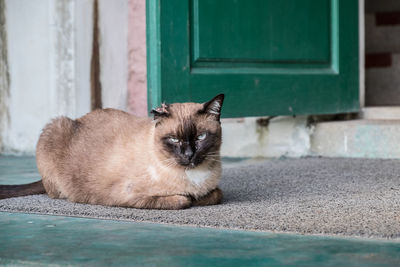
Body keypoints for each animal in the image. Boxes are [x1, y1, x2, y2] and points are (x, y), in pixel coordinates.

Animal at [0, 95, 225, 210]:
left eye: (200, 137)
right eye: (174, 140)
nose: (188, 155)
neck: (193, 178)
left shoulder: (212, 189)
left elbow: (215, 194)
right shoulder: (129, 195)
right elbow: (182, 200)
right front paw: (189, 199)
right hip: (55, 126)